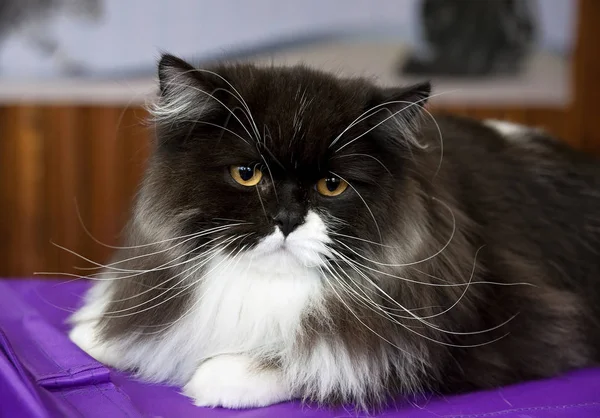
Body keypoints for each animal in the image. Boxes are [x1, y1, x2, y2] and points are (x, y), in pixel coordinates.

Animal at [68, 54, 596, 410]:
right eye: (247, 174)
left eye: (331, 185)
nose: (286, 218)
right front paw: (91, 332)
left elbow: (323, 362)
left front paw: (219, 378)